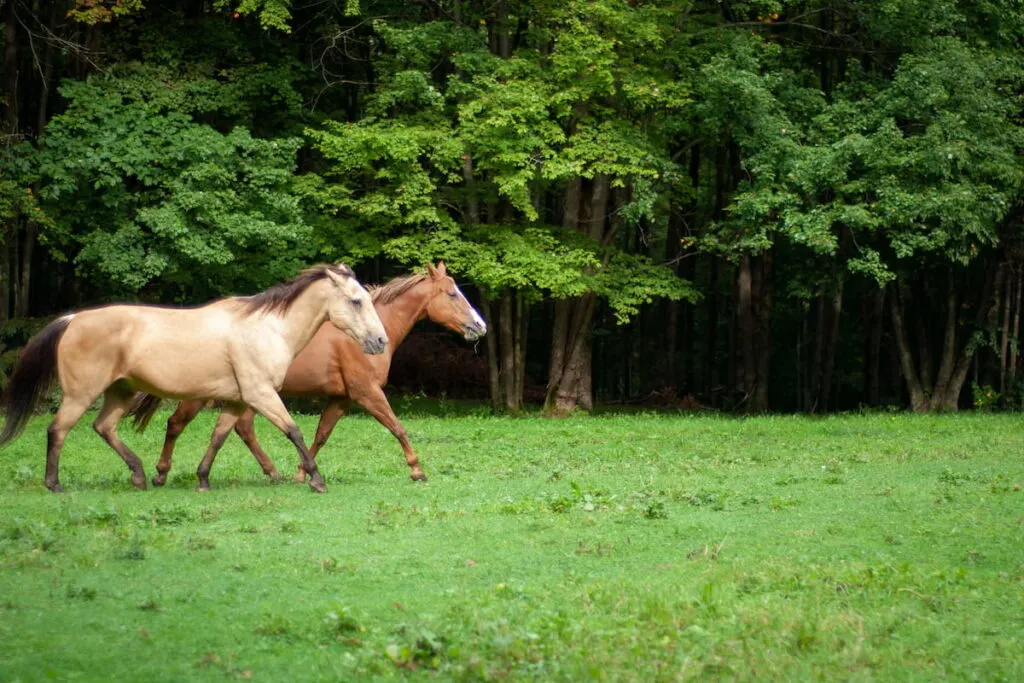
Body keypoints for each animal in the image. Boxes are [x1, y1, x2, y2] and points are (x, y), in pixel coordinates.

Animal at [0, 264, 387, 493]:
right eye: (356, 301)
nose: (380, 341)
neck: (267, 329)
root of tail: (72, 319)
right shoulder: (261, 395)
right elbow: (293, 431)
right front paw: (316, 479)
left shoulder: (237, 400)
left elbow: (218, 437)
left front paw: (202, 479)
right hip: (82, 394)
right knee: (58, 430)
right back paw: (55, 484)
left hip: (120, 392)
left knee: (104, 427)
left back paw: (140, 475)